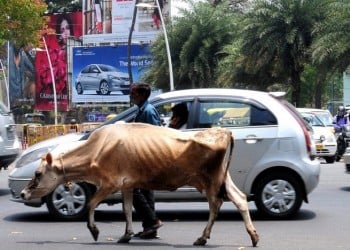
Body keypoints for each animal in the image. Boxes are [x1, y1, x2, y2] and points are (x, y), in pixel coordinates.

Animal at [20, 122, 258, 246]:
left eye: (38, 173)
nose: (23, 193)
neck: (96, 149)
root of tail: (223, 130)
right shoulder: (127, 185)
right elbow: (127, 210)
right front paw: (126, 234)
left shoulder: (110, 183)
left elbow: (90, 204)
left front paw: (94, 230)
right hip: (222, 179)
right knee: (239, 199)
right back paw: (253, 236)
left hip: (210, 180)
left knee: (216, 204)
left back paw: (203, 237)